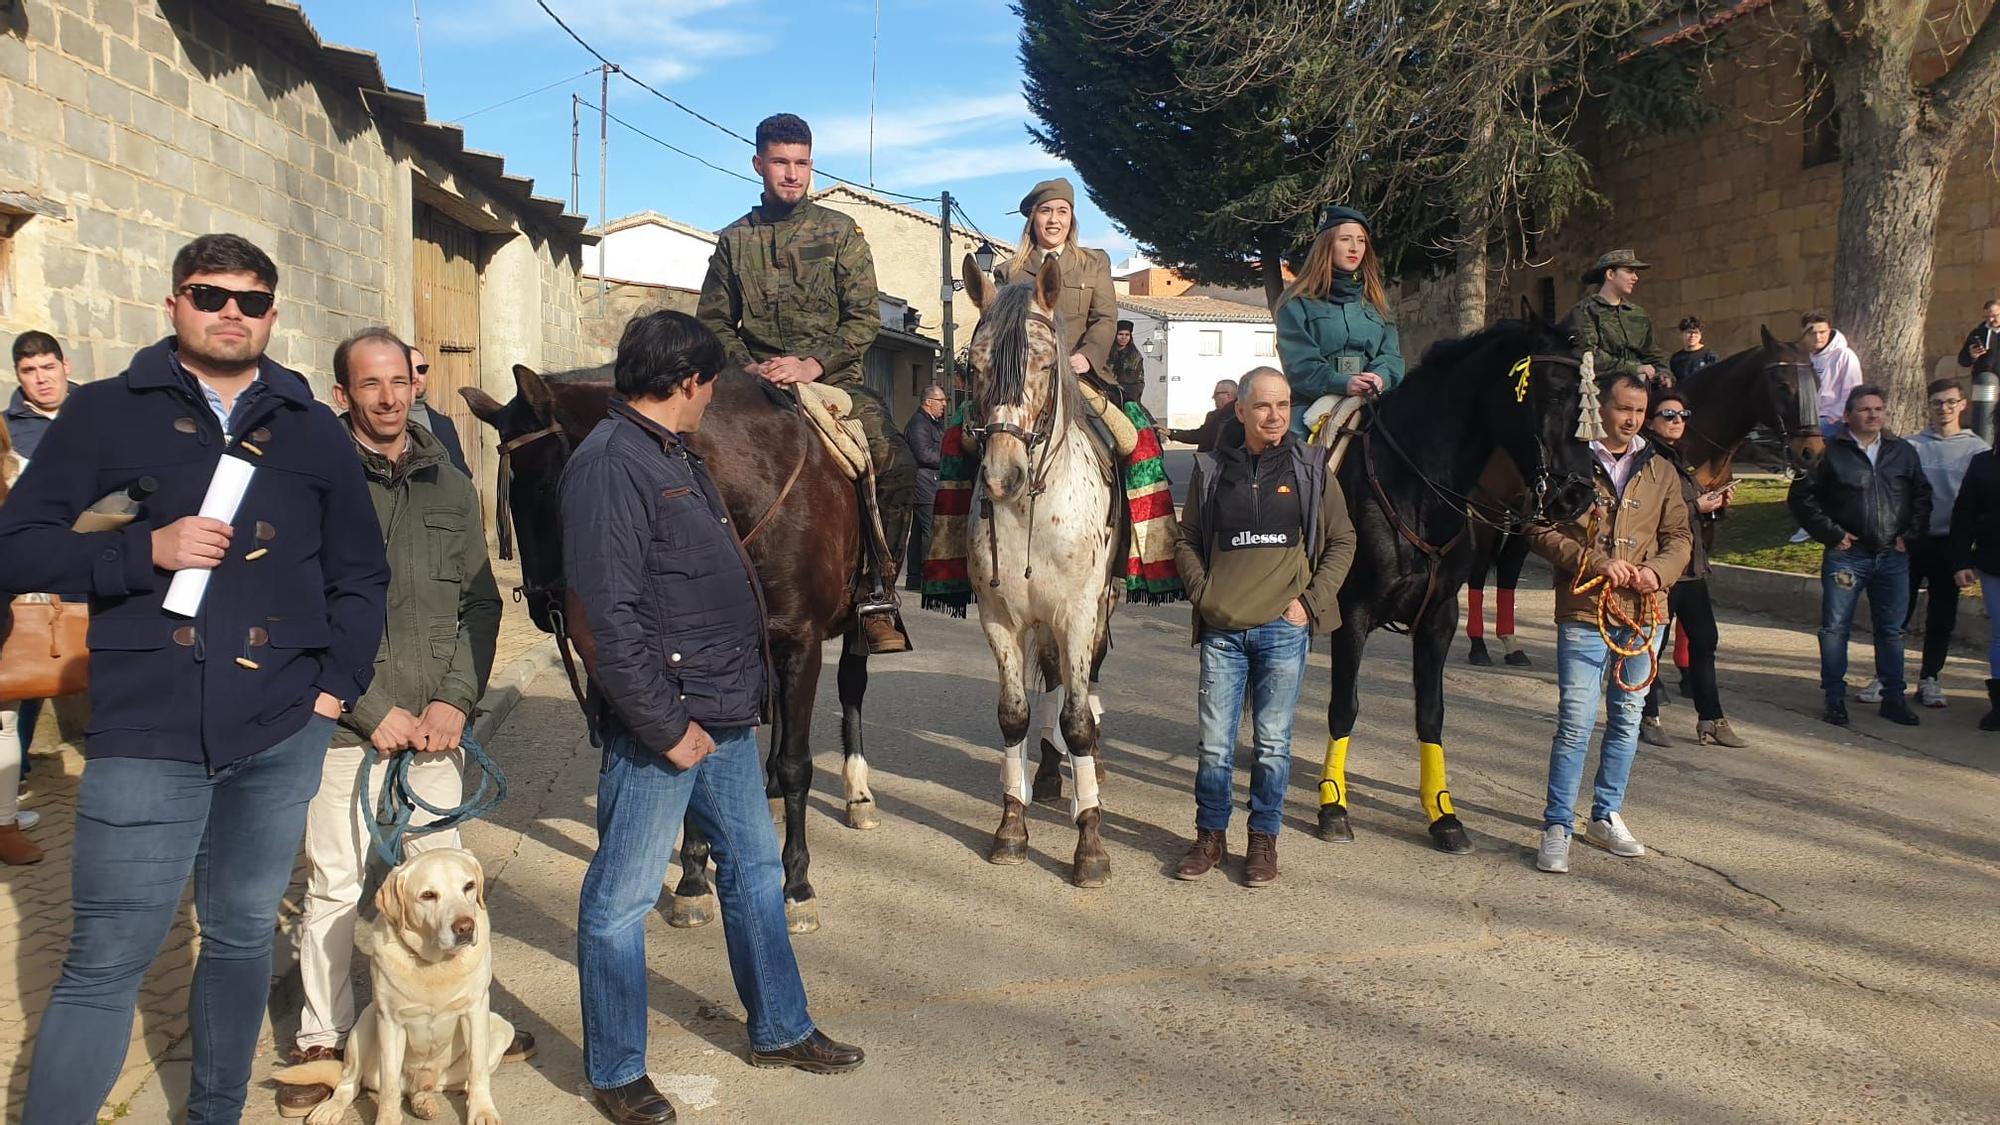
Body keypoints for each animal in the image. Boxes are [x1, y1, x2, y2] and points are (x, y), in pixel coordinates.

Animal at [274, 848, 508, 1120]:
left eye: (468, 886)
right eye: (428, 895)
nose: (465, 927)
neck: (434, 963)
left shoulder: (475, 1010)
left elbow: (477, 1068)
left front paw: (482, 1111)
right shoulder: (389, 1021)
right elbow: (389, 1085)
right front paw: (387, 1118)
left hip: (501, 1030)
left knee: (430, 1085)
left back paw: (423, 1101)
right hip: (364, 1026)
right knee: (350, 1082)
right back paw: (331, 1108)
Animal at [472, 360, 880, 928]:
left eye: (552, 484)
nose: (542, 605)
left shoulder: (802, 641)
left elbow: (799, 764)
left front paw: (797, 885)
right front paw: (692, 878)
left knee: (851, 690)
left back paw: (857, 794)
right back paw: (771, 792)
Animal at [1320, 310, 1600, 844]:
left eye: (1587, 397)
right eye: (1553, 392)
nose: (1579, 495)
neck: (1413, 488)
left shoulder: (1439, 617)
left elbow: (1431, 714)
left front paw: (1443, 814)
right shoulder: (1353, 612)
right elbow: (1345, 706)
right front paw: (1333, 805)